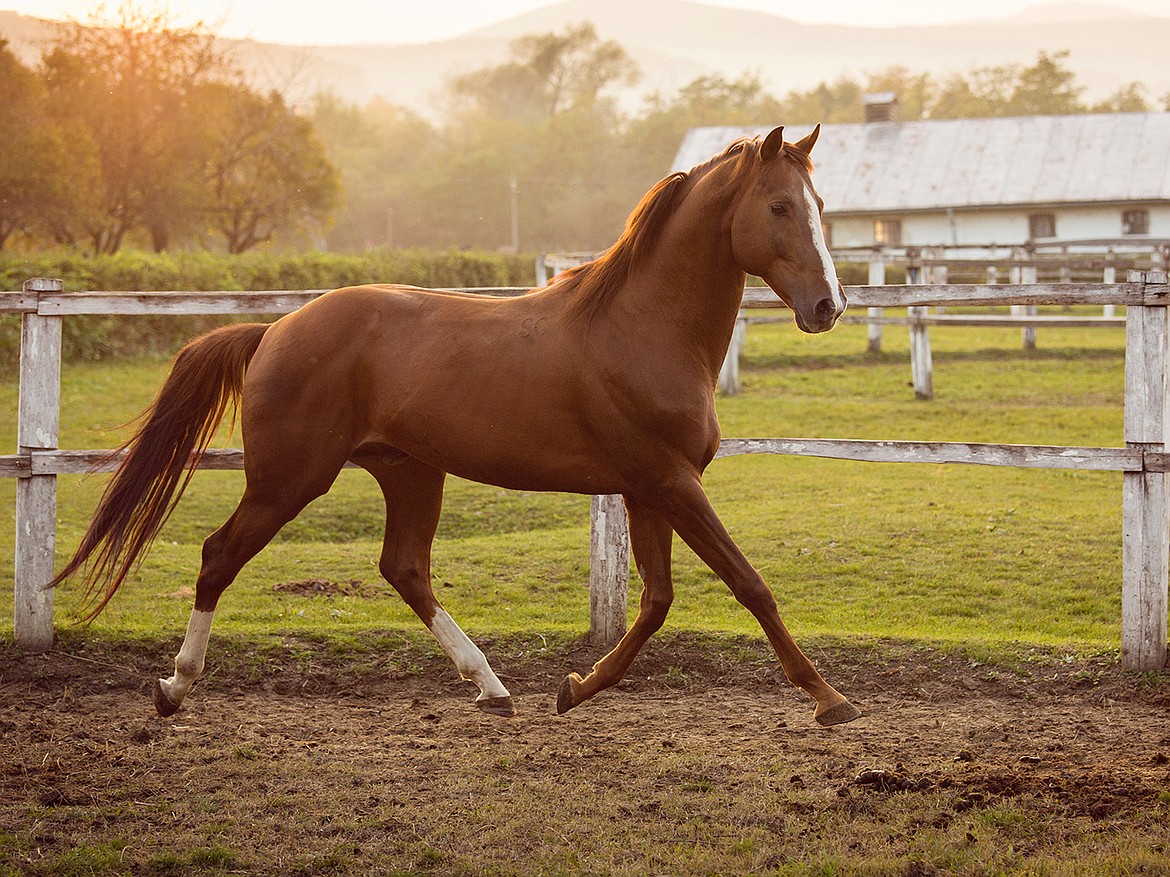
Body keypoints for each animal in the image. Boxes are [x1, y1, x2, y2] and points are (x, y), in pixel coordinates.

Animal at [54, 125, 861, 729]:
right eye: (780, 206)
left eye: (821, 201)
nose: (828, 306)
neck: (642, 327)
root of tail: (276, 330)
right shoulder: (669, 481)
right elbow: (749, 583)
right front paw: (830, 699)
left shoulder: (648, 487)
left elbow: (657, 602)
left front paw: (574, 687)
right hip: (289, 479)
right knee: (220, 555)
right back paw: (174, 687)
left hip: (409, 470)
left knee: (404, 568)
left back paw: (492, 686)